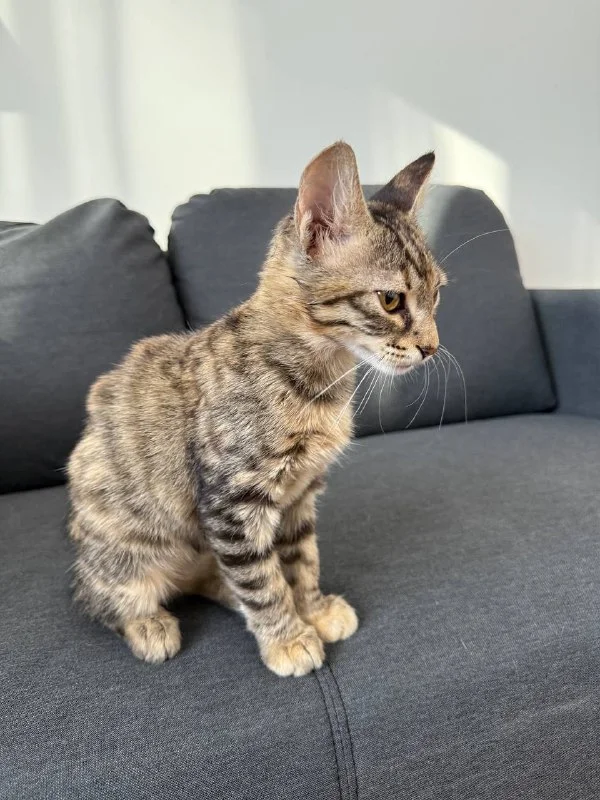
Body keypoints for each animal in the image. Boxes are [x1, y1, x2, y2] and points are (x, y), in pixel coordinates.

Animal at [67, 141, 445, 676]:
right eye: (391, 300)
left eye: (437, 295)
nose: (432, 348)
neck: (316, 382)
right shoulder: (232, 501)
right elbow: (261, 581)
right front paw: (287, 637)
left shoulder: (298, 496)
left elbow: (300, 560)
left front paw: (311, 608)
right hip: (121, 539)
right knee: (101, 595)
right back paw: (148, 623)